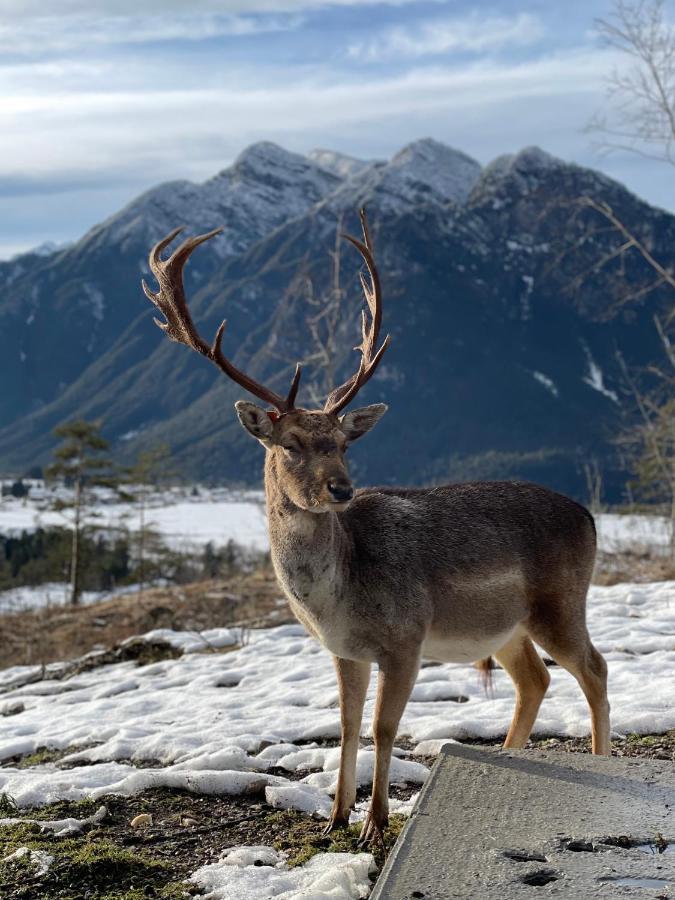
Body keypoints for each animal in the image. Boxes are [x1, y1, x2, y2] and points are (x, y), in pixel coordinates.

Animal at [143, 209, 612, 844]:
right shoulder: (345, 651)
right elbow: (345, 725)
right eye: (289, 443)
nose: (341, 489)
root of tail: (589, 516)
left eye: (343, 443)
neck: (334, 601)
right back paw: (508, 756)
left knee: (594, 668)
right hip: (507, 628)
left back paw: (601, 762)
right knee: (535, 679)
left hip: (560, 602)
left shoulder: (405, 638)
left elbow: (383, 728)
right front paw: (336, 817)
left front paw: (376, 823)